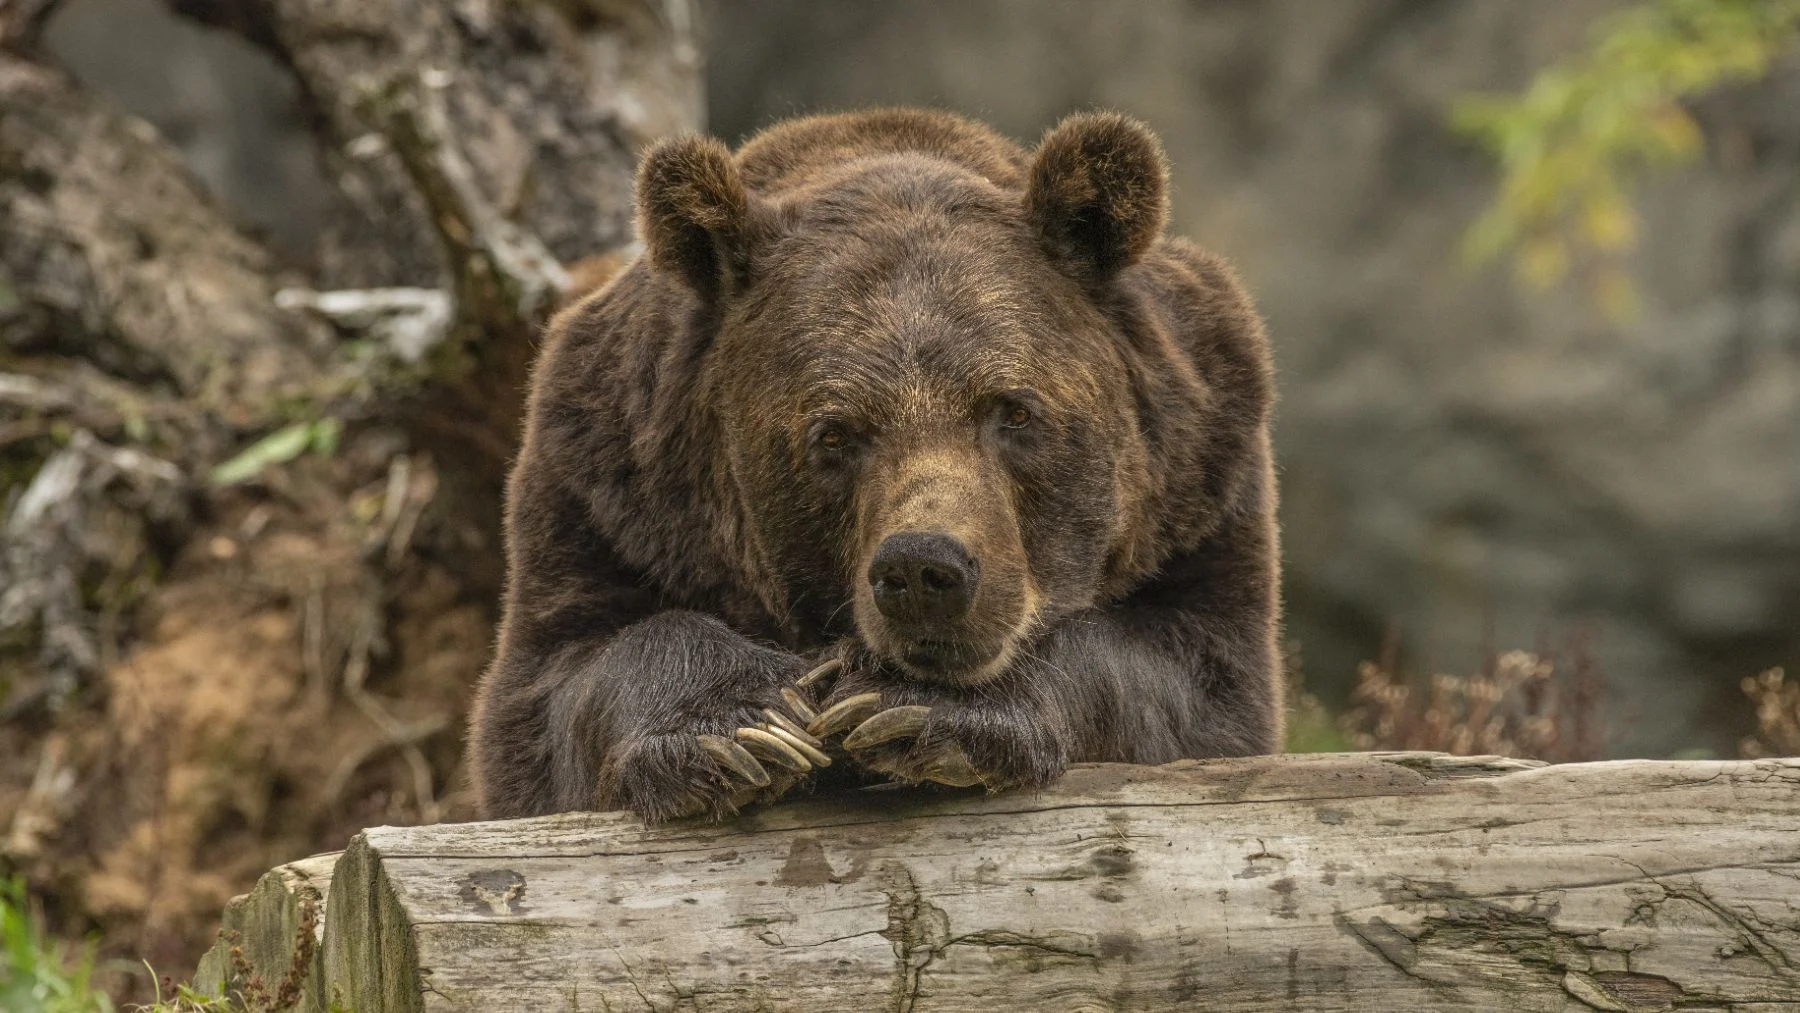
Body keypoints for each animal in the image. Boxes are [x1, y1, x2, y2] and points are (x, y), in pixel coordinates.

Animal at [469, 107, 1282, 823]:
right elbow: (559, 686)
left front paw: (915, 707)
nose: (923, 569)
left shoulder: (1202, 480)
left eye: (1013, 410)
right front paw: (745, 727)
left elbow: (1192, 681)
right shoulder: (605, 491)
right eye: (834, 434)